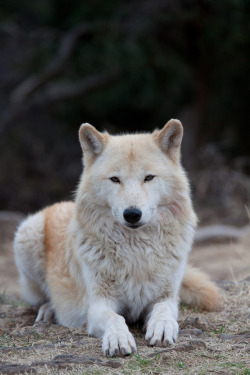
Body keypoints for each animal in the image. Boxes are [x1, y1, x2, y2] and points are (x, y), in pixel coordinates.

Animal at [13, 119, 221, 356]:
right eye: (115, 179)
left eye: (148, 178)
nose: (132, 214)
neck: (136, 251)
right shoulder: (99, 305)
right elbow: (116, 318)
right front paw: (118, 339)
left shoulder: (166, 298)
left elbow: (163, 312)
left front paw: (161, 328)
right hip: (27, 236)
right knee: (39, 298)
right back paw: (49, 311)